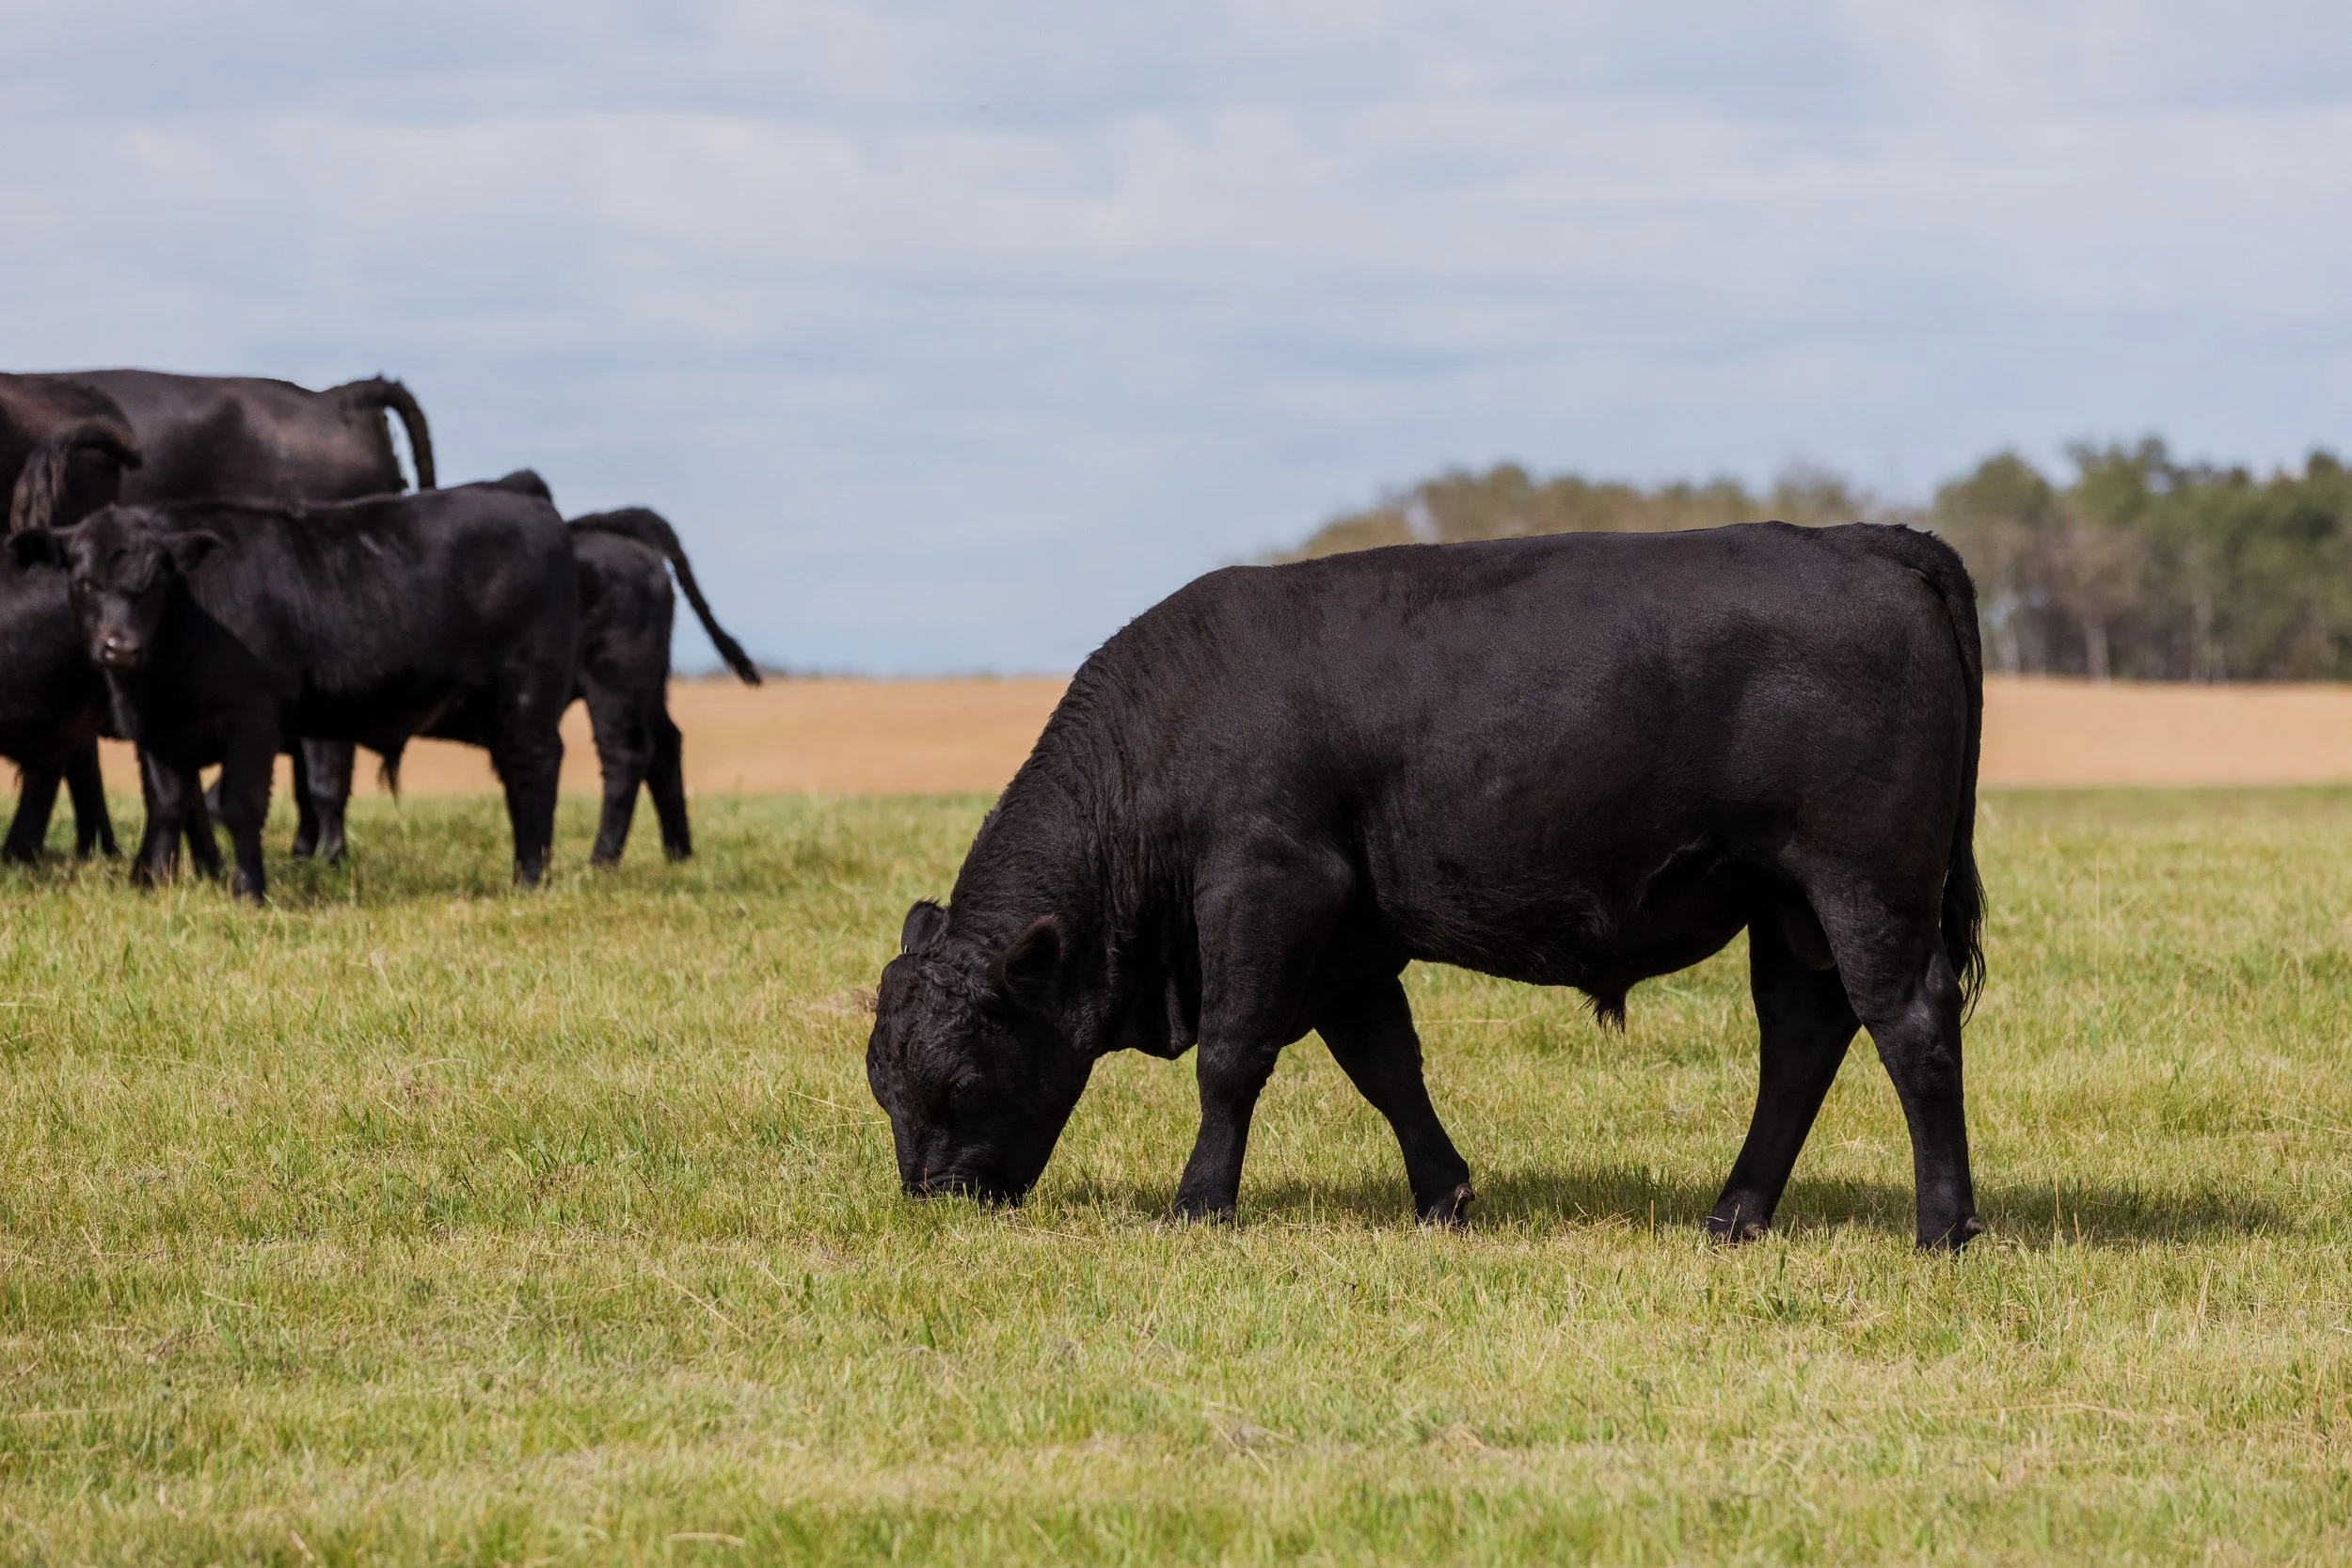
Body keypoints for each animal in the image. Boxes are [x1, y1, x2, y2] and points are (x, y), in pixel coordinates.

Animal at [8, 481, 576, 902]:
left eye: (153, 582)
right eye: (84, 581)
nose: (119, 647)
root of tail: (534, 507)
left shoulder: (253, 715)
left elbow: (238, 803)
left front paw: (248, 891)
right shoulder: (158, 730)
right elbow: (168, 803)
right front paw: (152, 887)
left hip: (528, 692)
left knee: (535, 767)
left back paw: (532, 877)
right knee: (515, 778)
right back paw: (524, 870)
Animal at [866, 522, 1988, 1251]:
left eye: (962, 1080)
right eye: (883, 1083)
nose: (935, 1200)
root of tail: (1865, 538)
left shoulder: (1268, 890)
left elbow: (1232, 1058)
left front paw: (1199, 1206)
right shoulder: (1348, 939)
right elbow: (1385, 1064)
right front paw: (1443, 1196)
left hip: (1864, 884)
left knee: (1911, 1025)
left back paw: (1942, 1227)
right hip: (1785, 905)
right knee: (1801, 1037)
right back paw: (1734, 1215)